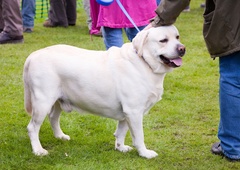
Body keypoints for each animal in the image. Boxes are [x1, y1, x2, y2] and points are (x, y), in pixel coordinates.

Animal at [23, 25, 185, 159]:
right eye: (163, 40)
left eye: (177, 37)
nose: (182, 49)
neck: (144, 62)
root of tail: (32, 55)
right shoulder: (134, 111)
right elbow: (139, 136)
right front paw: (144, 153)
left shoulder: (128, 112)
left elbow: (121, 131)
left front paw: (120, 147)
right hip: (43, 101)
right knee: (32, 127)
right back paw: (38, 150)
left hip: (58, 100)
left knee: (53, 117)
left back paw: (60, 136)